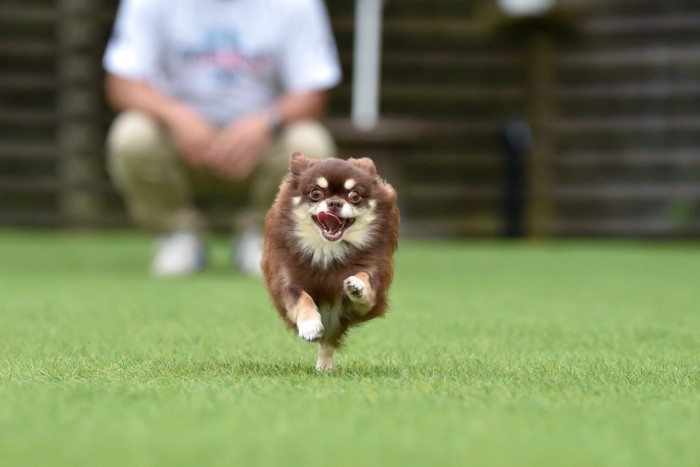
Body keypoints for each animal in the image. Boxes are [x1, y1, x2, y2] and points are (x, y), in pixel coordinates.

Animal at [262, 152, 400, 372]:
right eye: (316, 193)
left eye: (354, 196)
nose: (334, 203)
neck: (327, 249)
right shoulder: (286, 283)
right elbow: (301, 298)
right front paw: (309, 325)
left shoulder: (369, 293)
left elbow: (365, 280)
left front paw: (357, 286)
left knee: (327, 341)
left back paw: (324, 367)